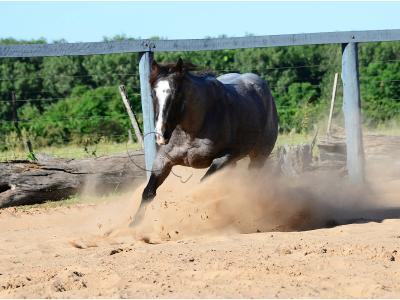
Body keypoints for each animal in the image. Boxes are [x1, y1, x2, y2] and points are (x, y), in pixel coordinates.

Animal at [131, 58, 278, 223]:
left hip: (259, 156)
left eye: (177, 94)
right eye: (153, 94)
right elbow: (149, 192)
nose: (161, 135)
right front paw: (134, 225)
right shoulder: (163, 160)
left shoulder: (226, 156)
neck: (191, 131)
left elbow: (203, 185)